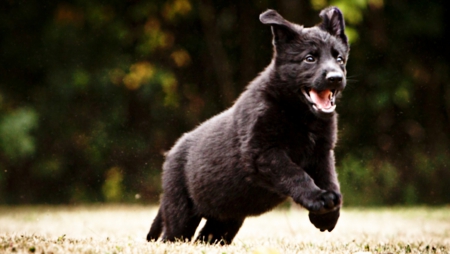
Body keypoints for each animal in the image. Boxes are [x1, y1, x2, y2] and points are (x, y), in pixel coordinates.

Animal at [147, 5, 348, 244]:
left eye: (339, 58)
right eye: (309, 58)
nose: (336, 78)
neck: (299, 114)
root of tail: (171, 152)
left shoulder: (322, 153)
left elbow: (330, 178)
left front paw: (328, 215)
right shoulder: (263, 153)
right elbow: (295, 174)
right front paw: (318, 199)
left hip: (225, 220)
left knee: (205, 238)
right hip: (181, 215)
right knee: (171, 236)